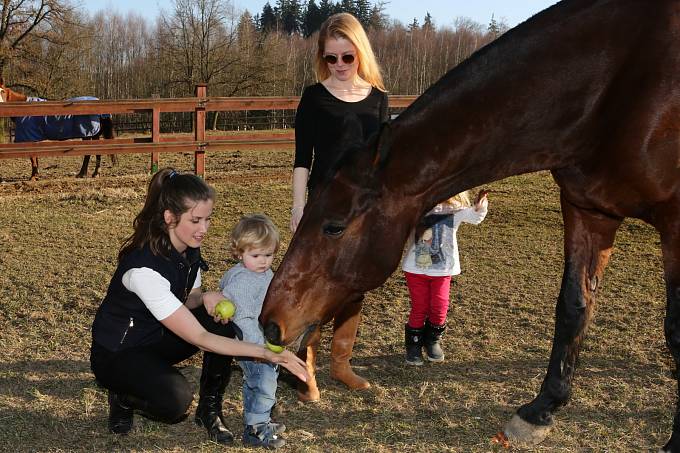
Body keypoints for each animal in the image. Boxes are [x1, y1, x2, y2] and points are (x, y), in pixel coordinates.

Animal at [258, 0, 680, 448]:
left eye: (334, 226)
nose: (270, 322)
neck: (614, 85)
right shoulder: (589, 211)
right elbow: (573, 307)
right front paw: (540, 409)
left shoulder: (674, 222)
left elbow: (674, 327)